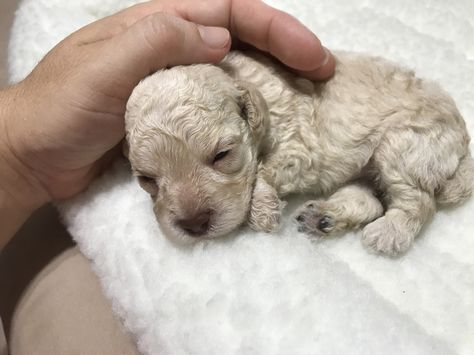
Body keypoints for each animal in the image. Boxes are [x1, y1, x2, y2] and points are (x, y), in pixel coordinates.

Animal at [124, 50, 472, 256]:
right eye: (146, 180)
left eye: (222, 154)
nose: (195, 226)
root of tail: (463, 137)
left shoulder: (300, 147)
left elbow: (264, 170)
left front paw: (262, 211)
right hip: (371, 165)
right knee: (369, 199)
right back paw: (324, 217)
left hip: (406, 145)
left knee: (419, 201)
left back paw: (389, 233)